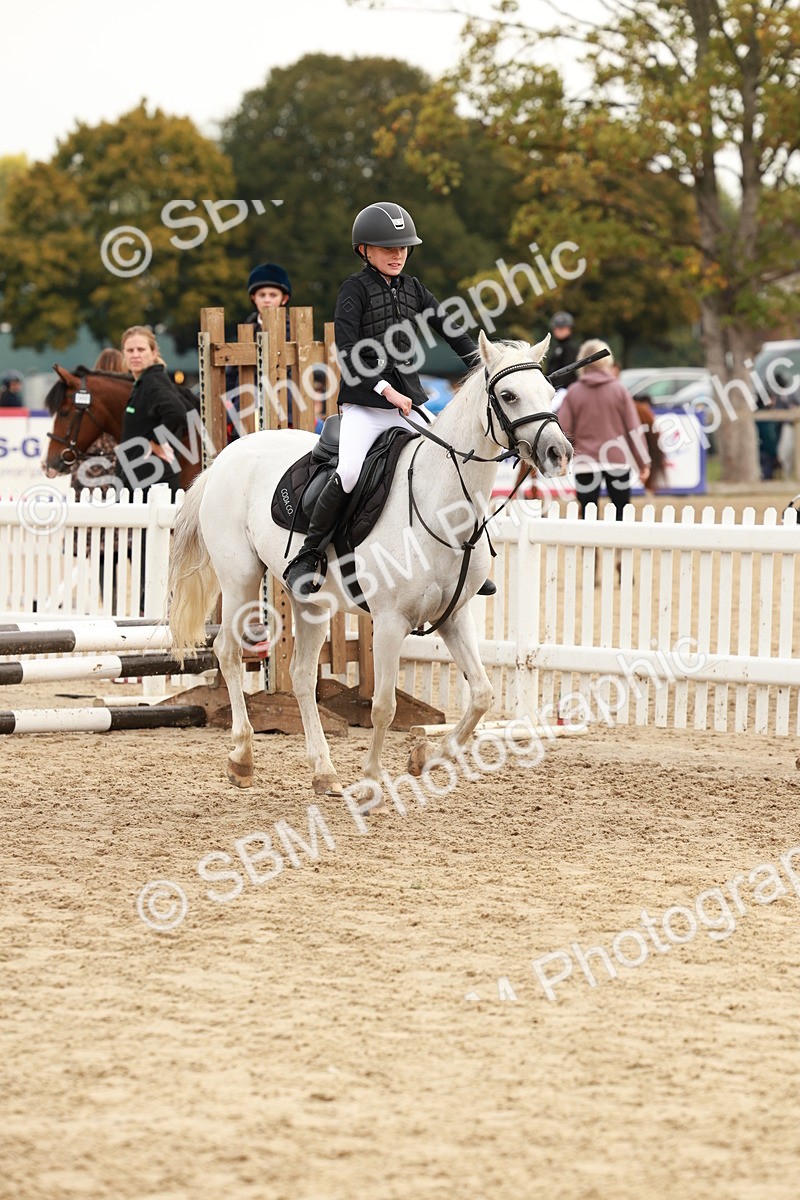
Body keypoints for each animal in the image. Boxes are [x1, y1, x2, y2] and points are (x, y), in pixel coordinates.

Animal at [168, 332, 573, 794]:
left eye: (549, 392)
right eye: (508, 396)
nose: (559, 453)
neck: (439, 501)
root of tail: (226, 457)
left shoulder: (455, 617)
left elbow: (483, 695)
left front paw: (425, 757)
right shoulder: (391, 621)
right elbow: (383, 705)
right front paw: (373, 781)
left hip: (311, 602)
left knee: (302, 675)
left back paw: (323, 770)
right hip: (241, 580)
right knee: (228, 652)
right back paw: (242, 758)